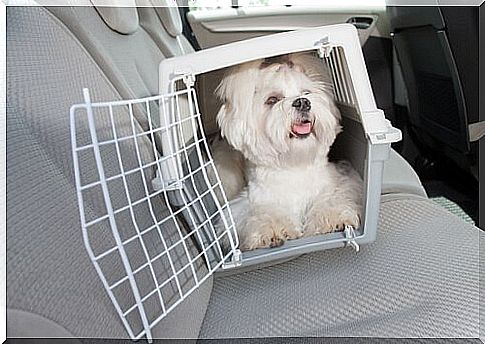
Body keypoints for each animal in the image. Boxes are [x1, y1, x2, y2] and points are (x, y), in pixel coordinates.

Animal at [210, 52, 362, 251]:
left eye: (306, 93)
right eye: (272, 100)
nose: (303, 102)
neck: (294, 165)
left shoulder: (336, 183)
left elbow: (332, 198)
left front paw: (331, 218)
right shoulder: (251, 202)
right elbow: (263, 213)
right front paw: (272, 230)